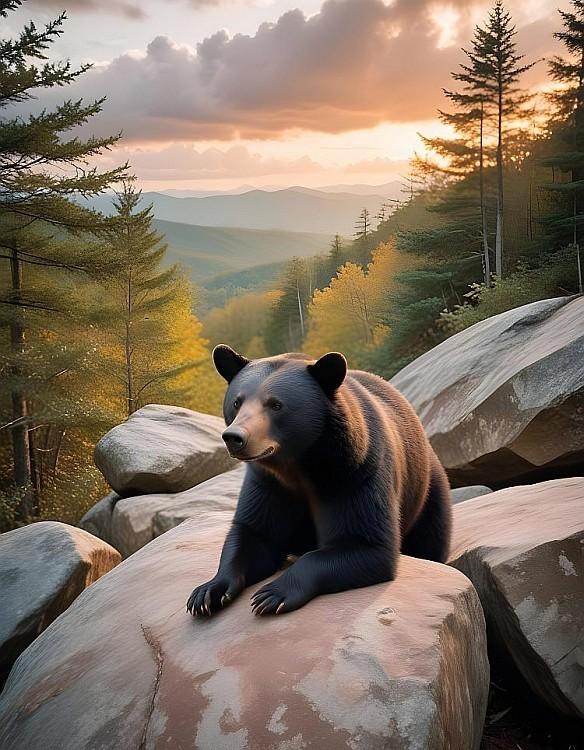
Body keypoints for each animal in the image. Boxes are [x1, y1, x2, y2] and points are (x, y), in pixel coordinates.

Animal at [186, 345, 451, 617]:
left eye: (276, 405)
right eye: (237, 402)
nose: (234, 437)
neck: (298, 465)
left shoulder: (355, 473)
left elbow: (366, 543)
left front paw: (273, 594)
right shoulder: (267, 483)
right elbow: (252, 534)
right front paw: (207, 592)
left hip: (427, 488)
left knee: (430, 536)